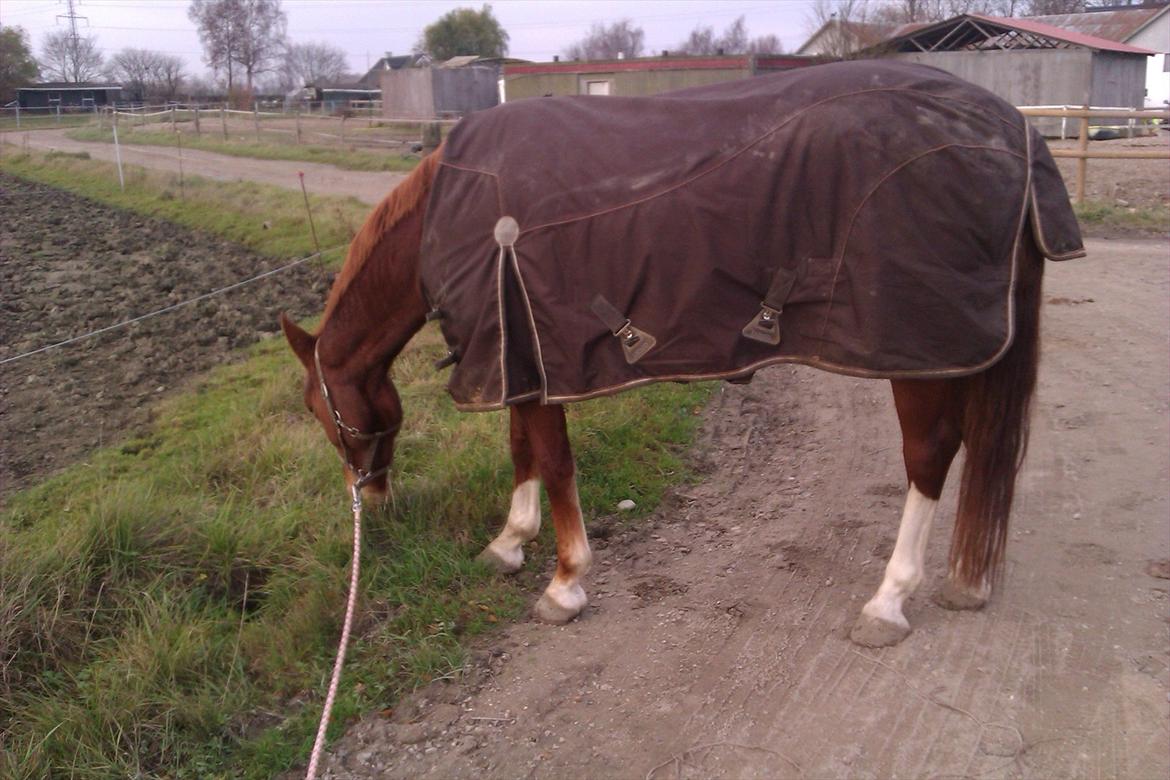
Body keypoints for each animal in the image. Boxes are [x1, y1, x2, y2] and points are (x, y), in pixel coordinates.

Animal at [278, 59, 1081, 645]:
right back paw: (966, 582)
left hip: (914, 349)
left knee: (931, 453)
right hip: (959, 346)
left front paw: (565, 583)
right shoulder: (515, 352)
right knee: (978, 445)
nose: (372, 504)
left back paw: (888, 601)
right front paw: (509, 543)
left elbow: (553, 459)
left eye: (320, 411)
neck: (450, 214)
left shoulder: (533, 348)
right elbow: (521, 448)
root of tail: (1013, 128)